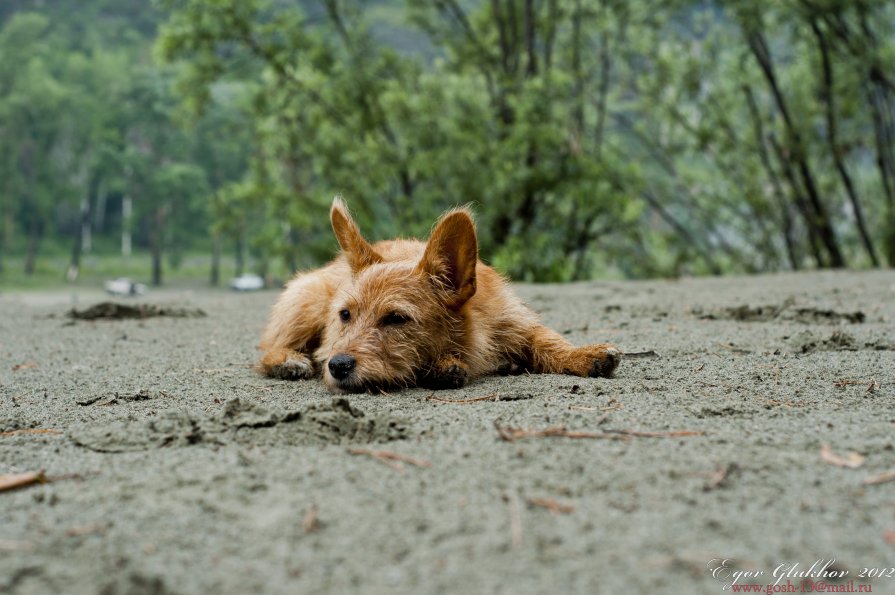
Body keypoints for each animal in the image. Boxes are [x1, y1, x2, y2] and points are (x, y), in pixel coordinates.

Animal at [260, 200, 624, 394]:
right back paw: (287, 361)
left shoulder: (518, 324)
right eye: (344, 315)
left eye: (396, 318)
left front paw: (583, 354)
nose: (338, 366)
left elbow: (549, 341)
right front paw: (445, 366)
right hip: (307, 302)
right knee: (266, 349)